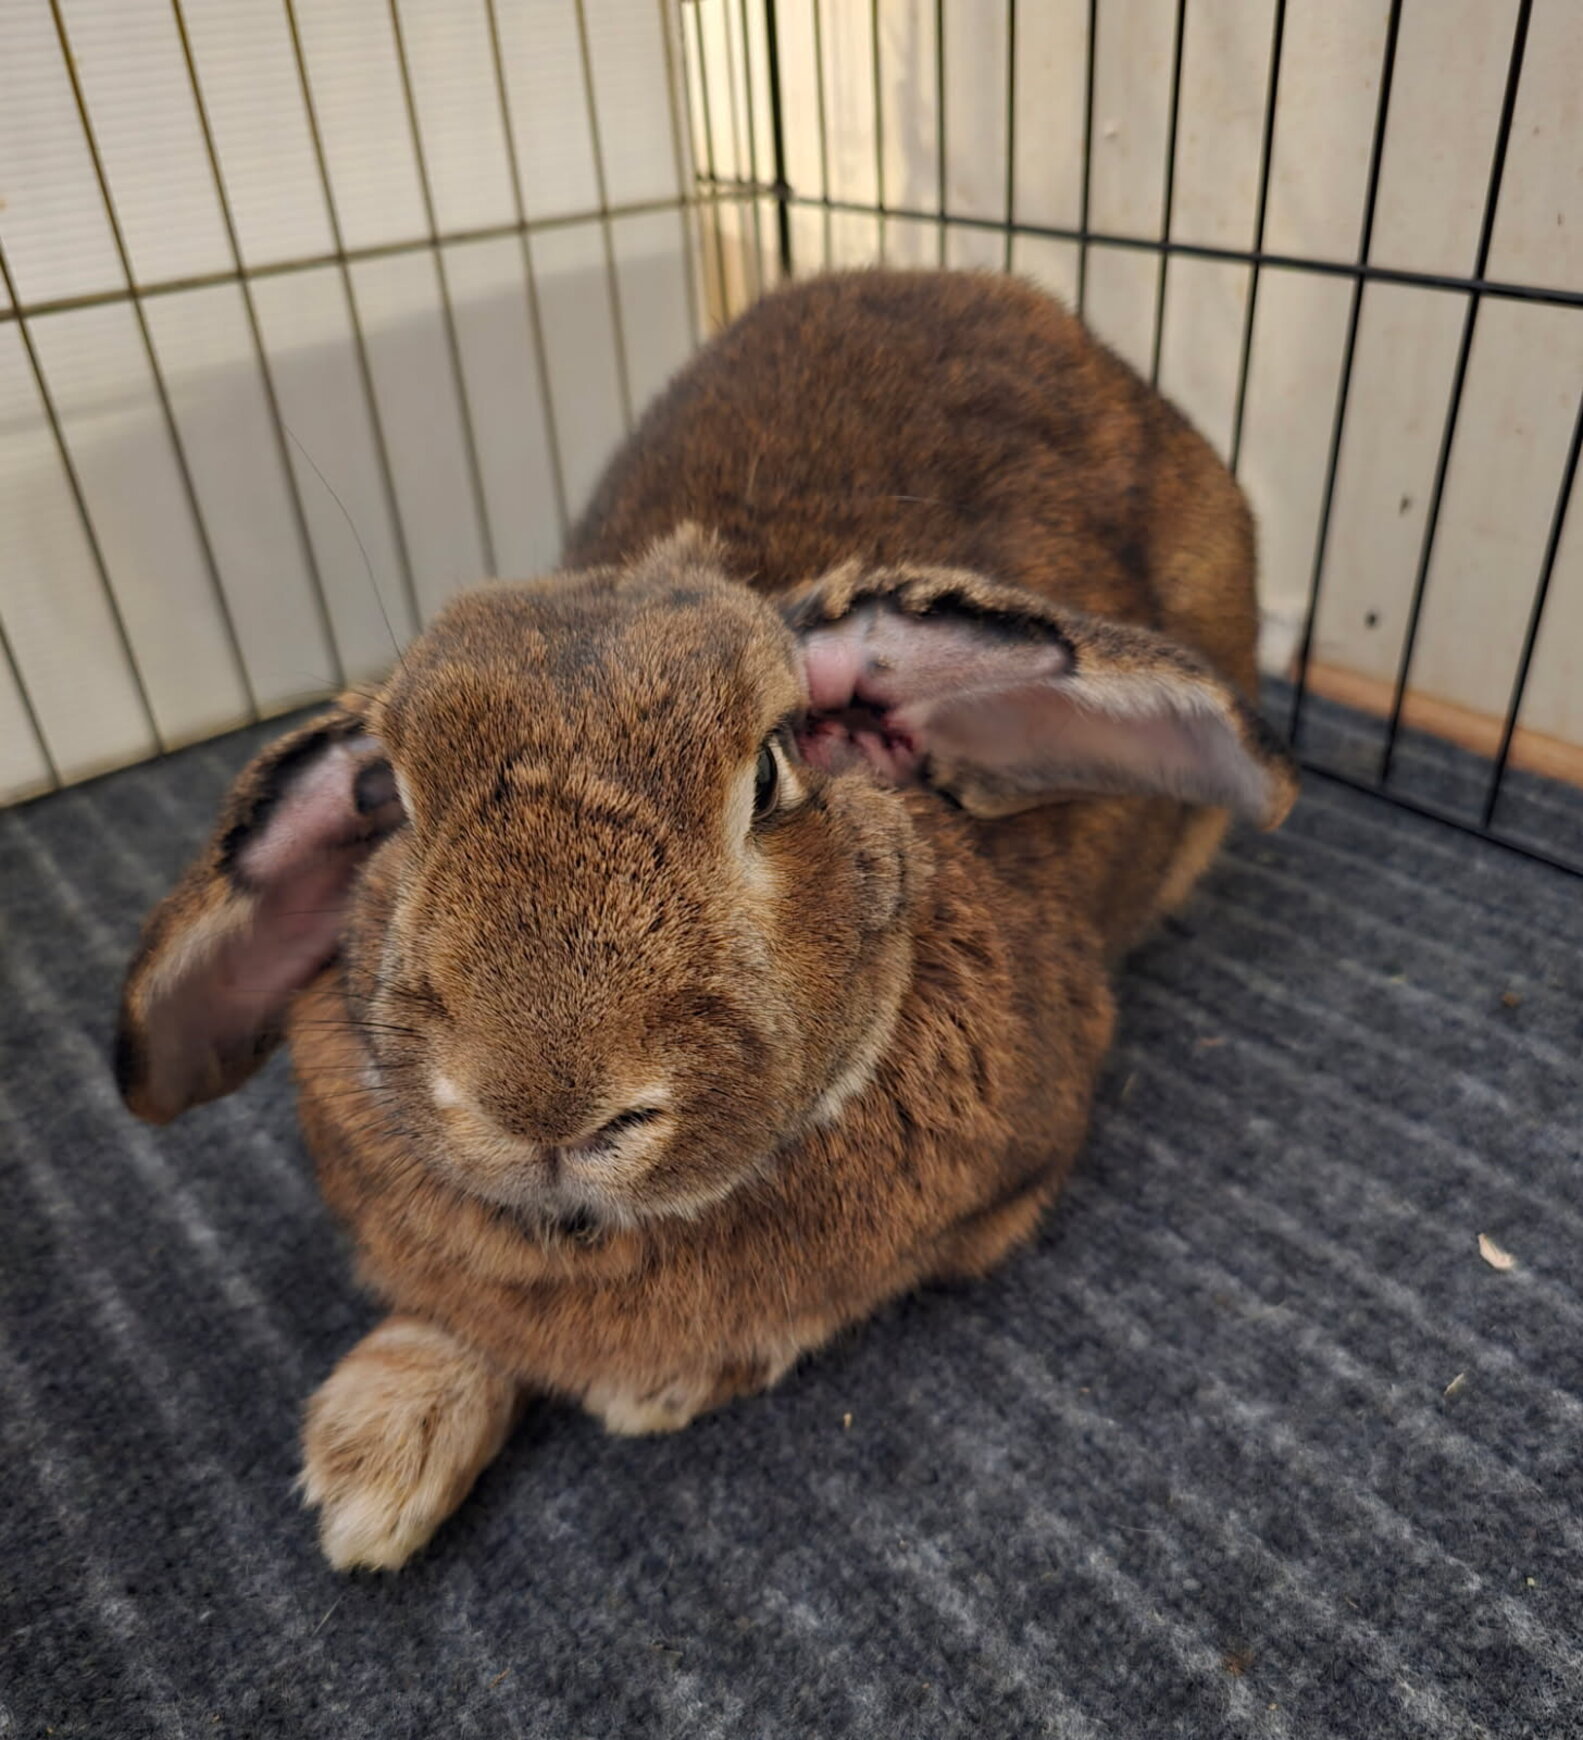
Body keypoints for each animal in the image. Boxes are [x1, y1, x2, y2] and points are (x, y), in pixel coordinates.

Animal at [115, 268, 1297, 1571]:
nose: (547, 1105)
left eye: (770, 773)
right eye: (394, 801)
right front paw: (372, 1457)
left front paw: (655, 1390)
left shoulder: (1002, 1195)